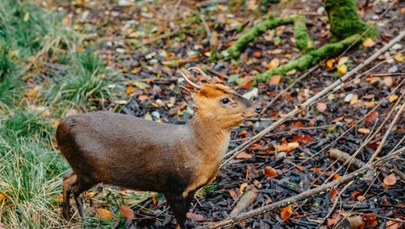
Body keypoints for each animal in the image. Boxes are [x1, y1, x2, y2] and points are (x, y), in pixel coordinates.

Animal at [56, 67, 258, 228]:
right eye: (225, 100)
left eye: (232, 89)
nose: (256, 108)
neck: (194, 151)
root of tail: (59, 128)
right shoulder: (171, 186)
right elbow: (180, 218)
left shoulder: (192, 189)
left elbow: (185, 214)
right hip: (89, 170)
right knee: (74, 188)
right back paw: (82, 219)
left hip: (81, 167)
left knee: (66, 179)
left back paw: (66, 216)